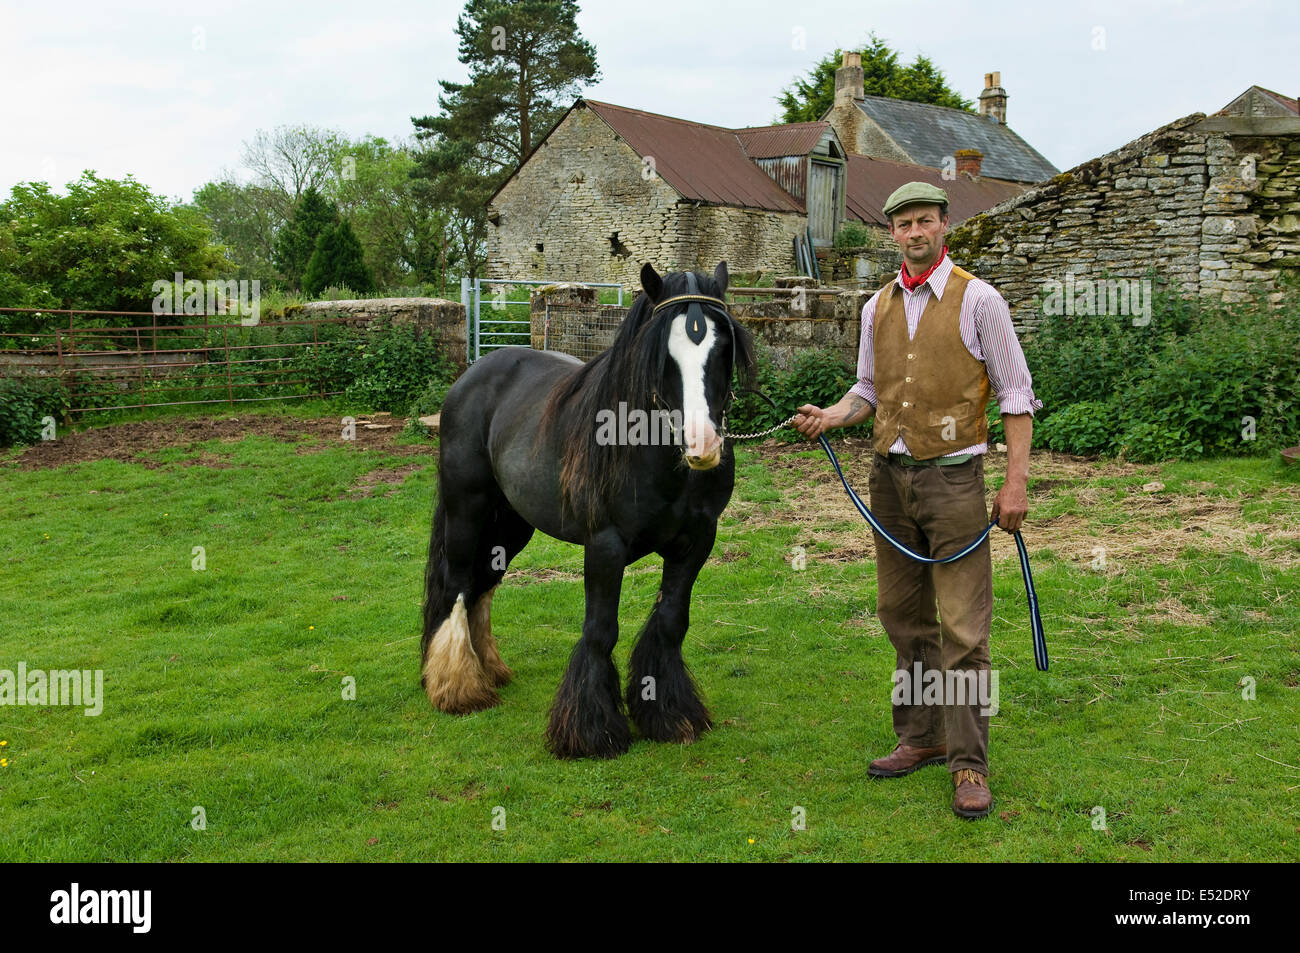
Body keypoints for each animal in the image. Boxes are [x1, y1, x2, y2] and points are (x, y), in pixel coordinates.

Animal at [421, 260, 759, 759]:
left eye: (722, 347)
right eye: (663, 356)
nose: (702, 446)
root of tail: (473, 374)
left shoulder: (696, 543)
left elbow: (671, 623)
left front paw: (669, 715)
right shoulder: (605, 545)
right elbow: (600, 630)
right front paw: (590, 731)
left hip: (511, 525)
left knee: (483, 585)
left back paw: (487, 671)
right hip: (468, 511)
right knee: (458, 585)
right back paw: (457, 686)